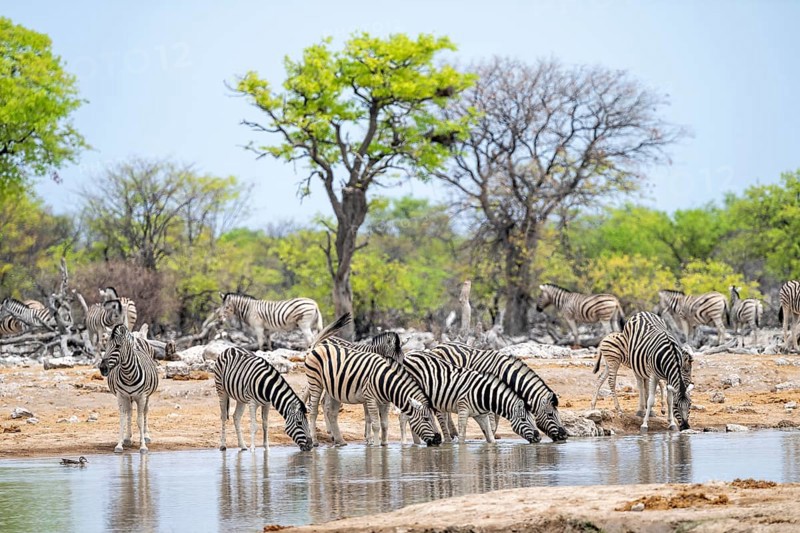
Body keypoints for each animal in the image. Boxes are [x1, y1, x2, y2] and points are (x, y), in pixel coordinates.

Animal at [98, 324, 160, 453]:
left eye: (118, 346)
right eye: (105, 346)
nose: (102, 368)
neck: (128, 375)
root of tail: (136, 339)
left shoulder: (142, 397)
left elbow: (140, 420)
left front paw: (143, 446)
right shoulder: (121, 396)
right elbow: (122, 419)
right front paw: (119, 445)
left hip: (147, 396)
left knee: (145, 412)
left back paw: (146, 436)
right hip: (129, 397)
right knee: (129, 412)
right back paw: (127, 438)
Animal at [305, 313, 441, 447]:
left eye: (403, 359)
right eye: (393, 358)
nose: (438, 440)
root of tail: (319, 344)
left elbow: (379, 421)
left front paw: (374, 440)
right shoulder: (368, 395)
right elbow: (370, 418)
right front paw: (370, 440)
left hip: (332, 386)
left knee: (328, 408)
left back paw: (336, 438)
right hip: (315, 381)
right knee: (313, 408)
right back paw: (315, 439)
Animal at [401, 350, 540, 444]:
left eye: (533, 419)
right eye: (523, 420)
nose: (538, 437)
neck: (484, 393)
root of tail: (409, 354)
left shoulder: (481, 415)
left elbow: (490, 438)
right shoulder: (463, 408)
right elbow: (462, 438)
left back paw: (416, 443)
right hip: (411, 392)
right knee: (403, 417)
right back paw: (405, 444)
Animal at [430, 342, 568, 442]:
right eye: (550, 415)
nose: (564, 436)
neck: (505, 374)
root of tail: (438, 346)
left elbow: (495, 423)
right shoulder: (488, 394)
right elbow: (492, 424)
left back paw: (453, 433)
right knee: (441, 413)